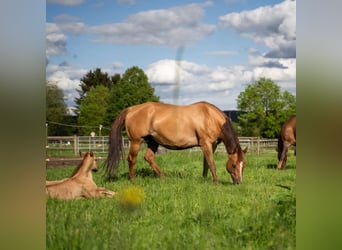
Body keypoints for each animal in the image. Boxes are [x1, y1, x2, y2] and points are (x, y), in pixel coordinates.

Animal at [104, 100, 246, 185]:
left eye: (243, 165)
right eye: (234, 165)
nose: (238, 182)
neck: (210, 117)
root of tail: (131, 109)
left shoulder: (212, 145)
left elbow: (206, 163)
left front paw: (205, 179)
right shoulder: (206, 143)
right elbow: (212, 163)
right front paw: (216, 182)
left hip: (153, 141)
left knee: (149, 157)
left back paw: (163, 177)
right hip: (136, 141)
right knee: (132, 159)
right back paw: (133, 180)